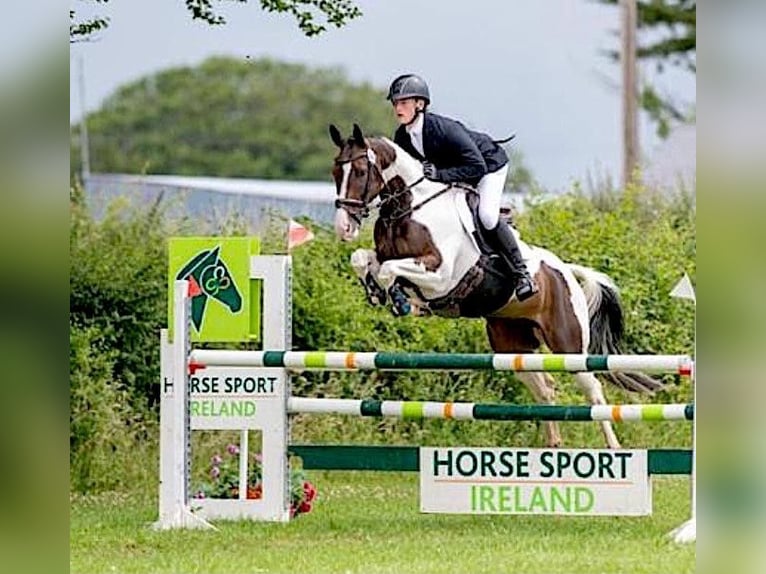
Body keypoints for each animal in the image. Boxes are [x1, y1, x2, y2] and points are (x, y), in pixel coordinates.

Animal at [328, 124, 664, 452]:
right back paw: (553, 444)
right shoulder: (389, 257)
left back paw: (613, 448)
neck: (409, 208)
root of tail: (566, 272)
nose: (343, 228)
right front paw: (378, 292)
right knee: (545, 388)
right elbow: (363, 259)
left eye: (360, 171)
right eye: (335, 172)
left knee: (592, 389)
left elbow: (390, 271)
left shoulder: (441, 275)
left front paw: (401, 300)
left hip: (568, 346)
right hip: (512, 346)